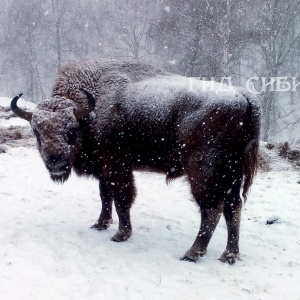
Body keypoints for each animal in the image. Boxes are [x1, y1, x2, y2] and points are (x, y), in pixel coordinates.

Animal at [11, 59, 260, 264]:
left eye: (71, 131)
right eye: (37, 132)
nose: (55, 163)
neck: (92, 110)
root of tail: (242, 97)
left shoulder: (117, 167)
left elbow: (122, 199)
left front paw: (120, 234)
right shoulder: (105, 170)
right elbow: (105, 196)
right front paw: (100, 224)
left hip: (203, 173)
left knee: (212, 209)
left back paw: (192, 253)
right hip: (231, 175)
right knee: (233, 207)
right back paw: (229, 255)